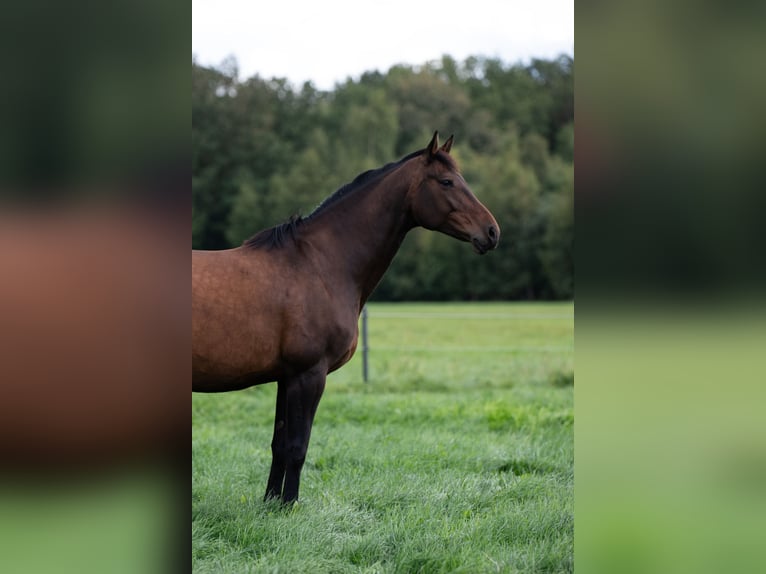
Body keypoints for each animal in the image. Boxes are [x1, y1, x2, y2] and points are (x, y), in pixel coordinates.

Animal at [192, 132, 500, 503]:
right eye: (447, 182)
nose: (492, 232)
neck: (320, 264)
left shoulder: (286, 377)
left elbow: (279, 444)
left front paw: (270, 504)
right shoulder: (309, 374)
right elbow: (297, 446)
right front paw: (289, 506)